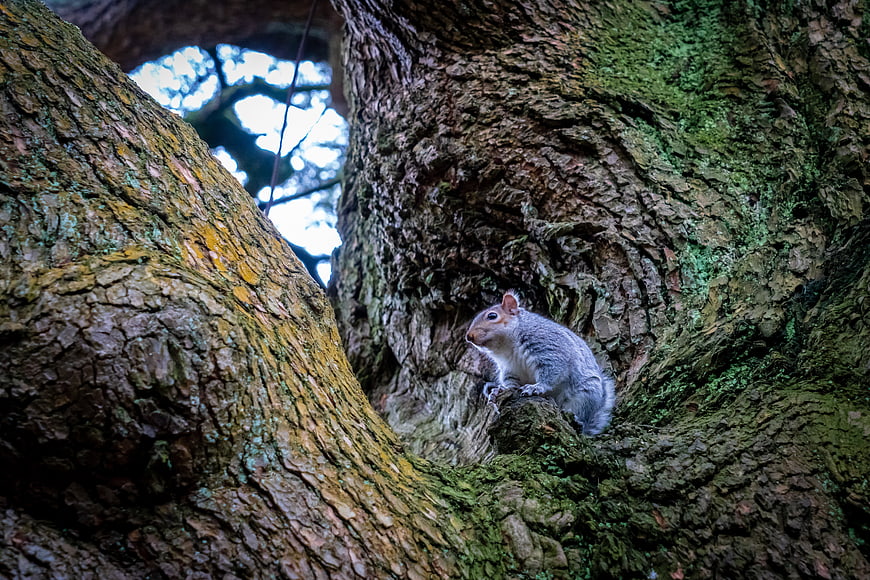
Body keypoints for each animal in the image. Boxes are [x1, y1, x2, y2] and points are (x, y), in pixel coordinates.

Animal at [466, 290, 616, 435]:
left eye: (492, 316)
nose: (468, 337)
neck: (508, 346)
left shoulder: (550, 349)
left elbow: (553, 371)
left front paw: (537, 387)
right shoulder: (509, 367)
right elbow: (511, 382)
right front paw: (501, 390)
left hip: (586, 394)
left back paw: (578, 422)